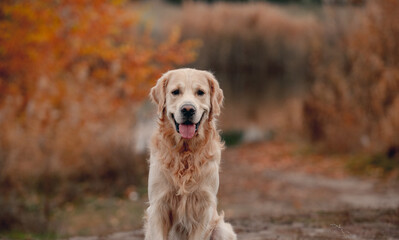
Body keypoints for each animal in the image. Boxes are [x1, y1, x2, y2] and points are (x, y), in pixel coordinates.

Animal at [145, 68, 236, 239]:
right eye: (175, 92)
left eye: (200, 92)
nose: (188, 109)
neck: (185, 153)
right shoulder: (158, 205)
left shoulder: (203, 208)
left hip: (223, 230)